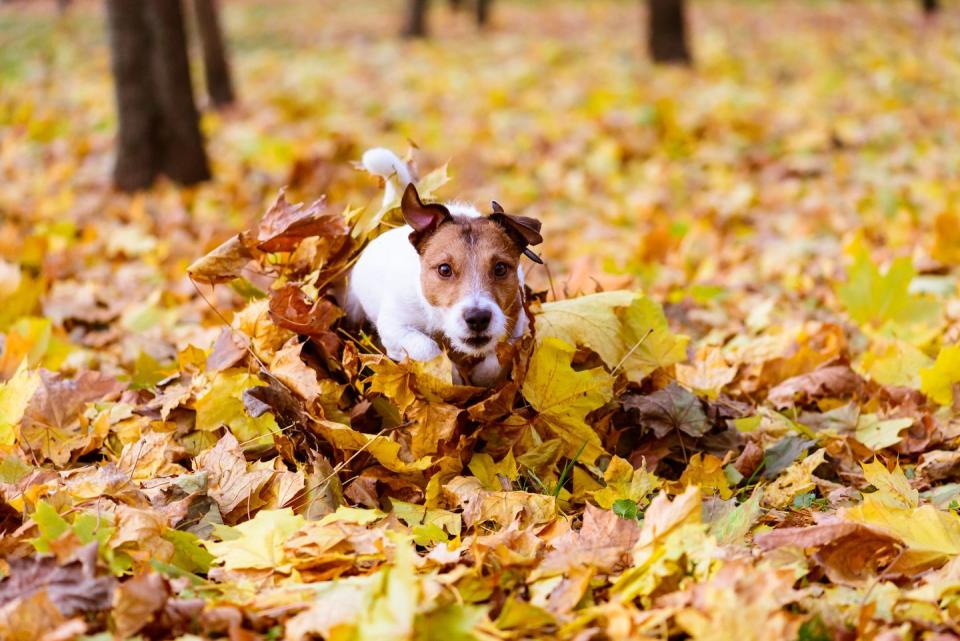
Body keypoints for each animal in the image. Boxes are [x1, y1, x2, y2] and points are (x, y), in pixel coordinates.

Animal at [344, 149, 544, 384]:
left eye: (500, 268)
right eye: (444, 269)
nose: (477, 318)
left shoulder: (516, 323)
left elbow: (498, 358)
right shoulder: (395, 326)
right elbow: (427, 349)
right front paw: (451, 377)